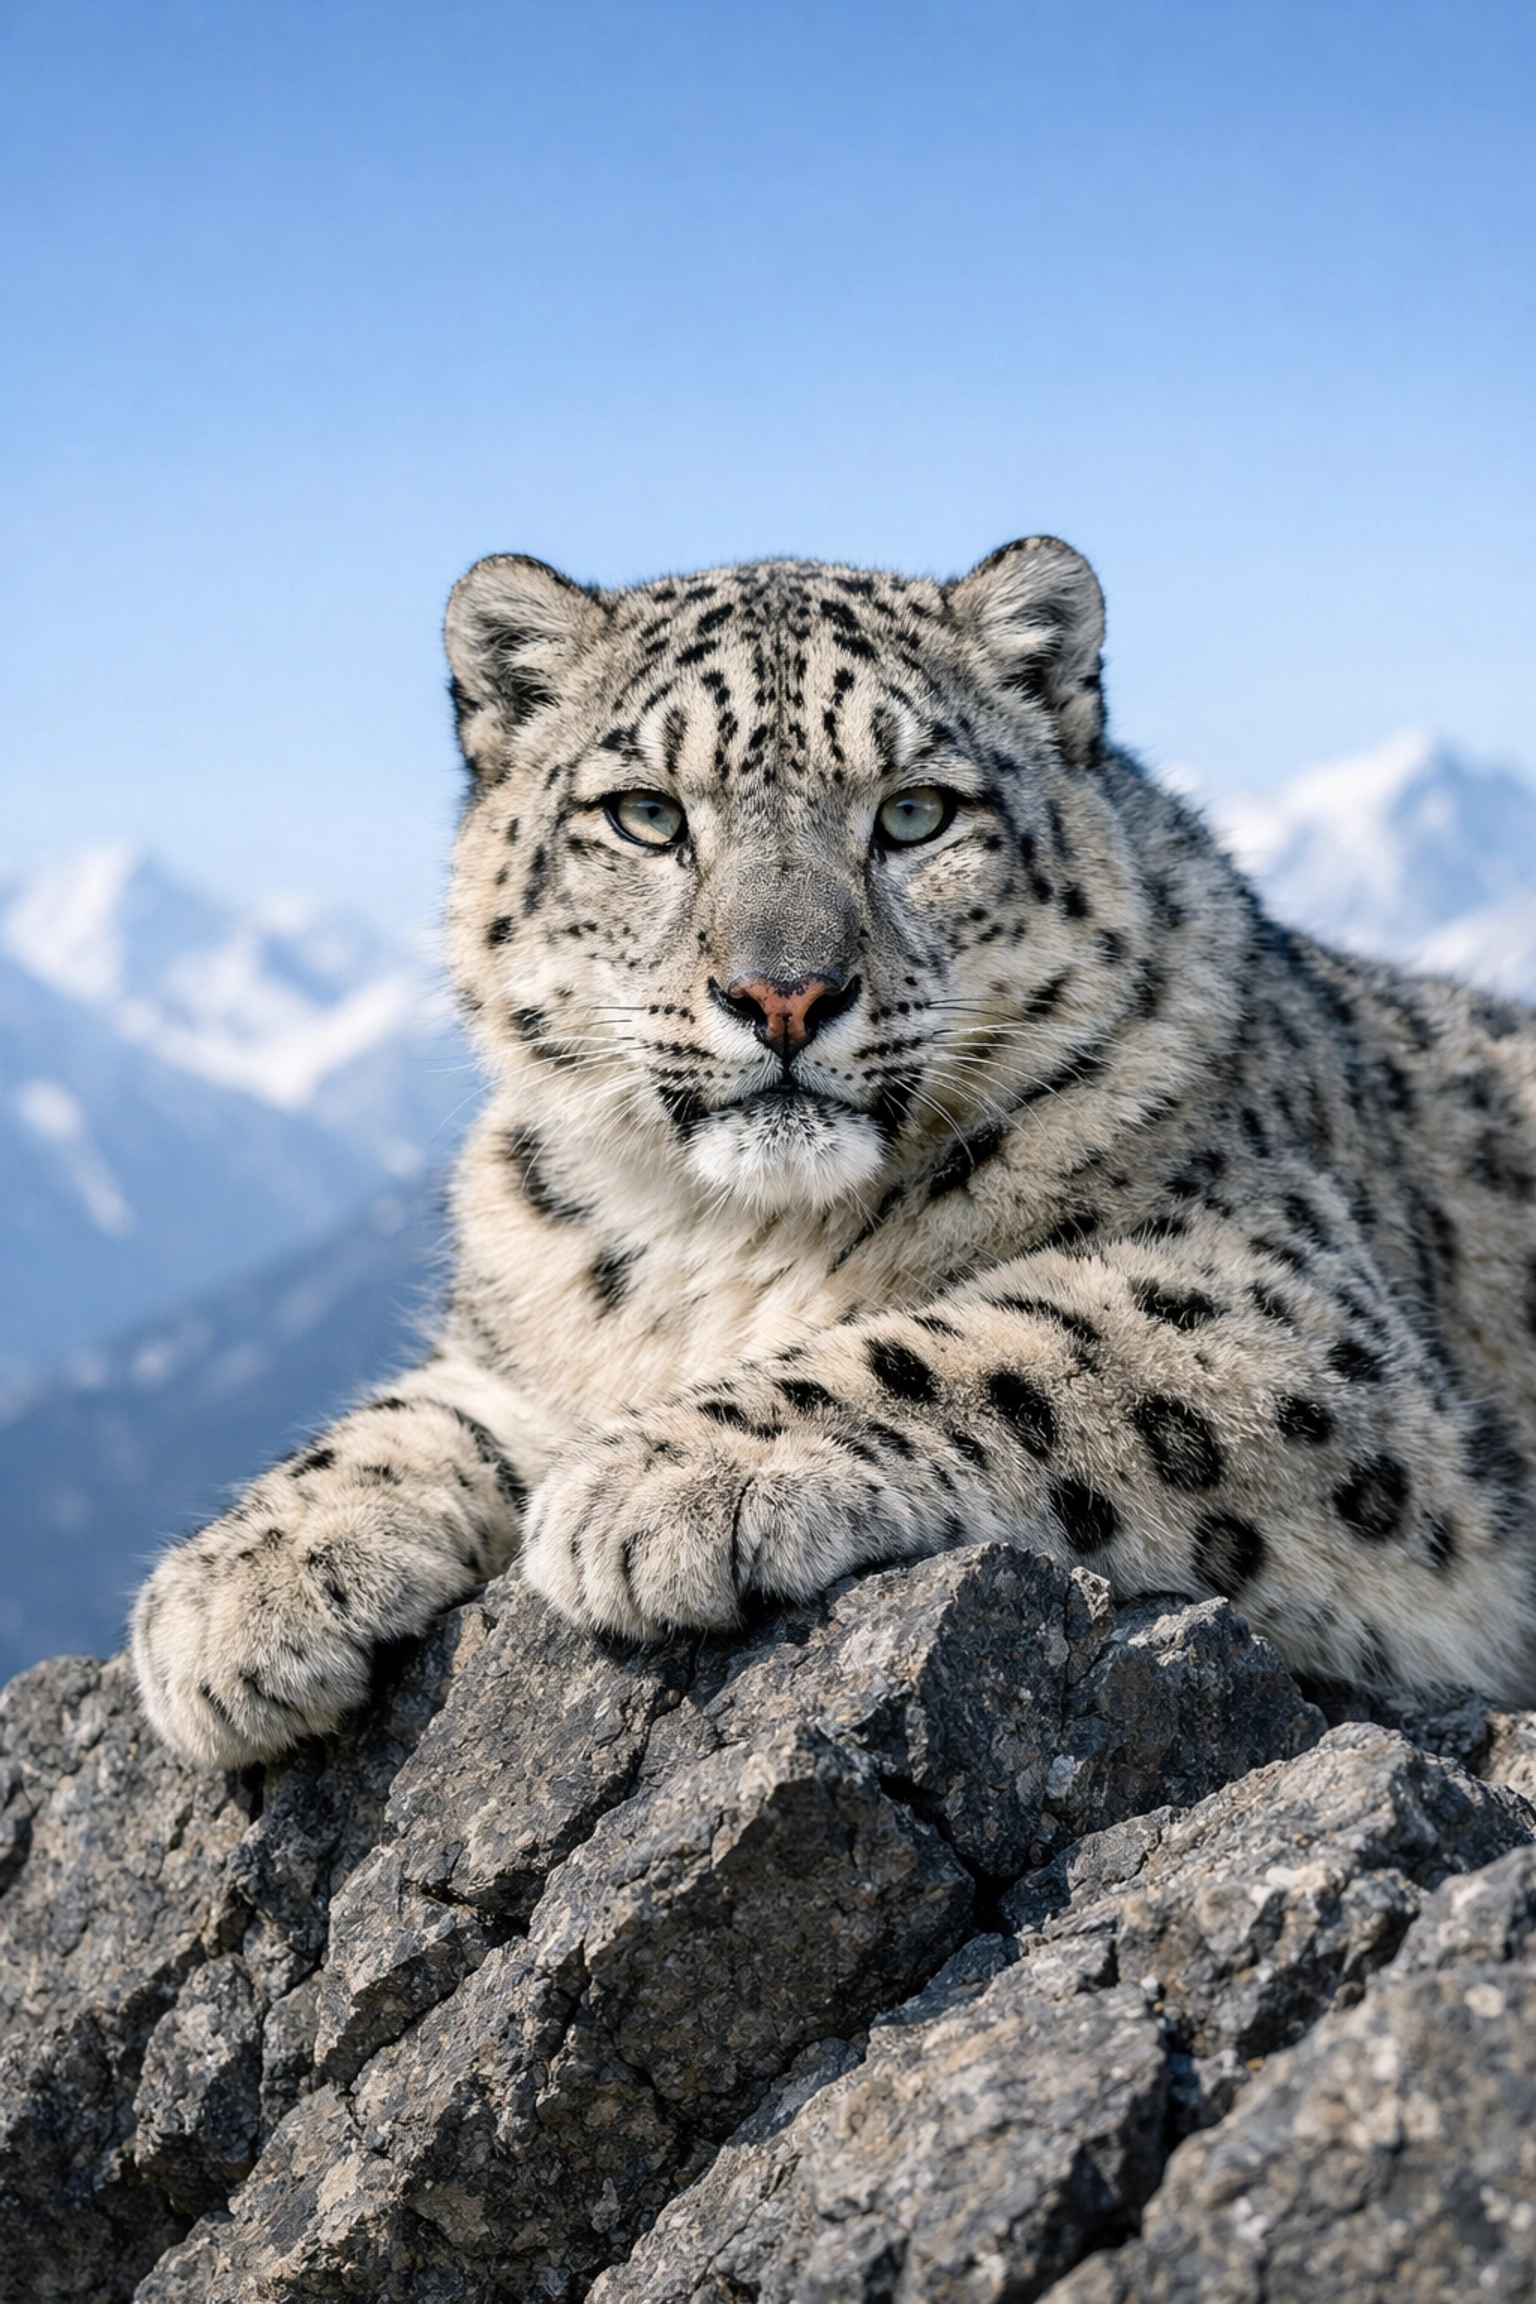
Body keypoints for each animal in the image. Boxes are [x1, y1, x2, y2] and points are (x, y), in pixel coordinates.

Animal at [131, 536, 1536, 1768]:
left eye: (914, 812)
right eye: (647, 816)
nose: (784, 994)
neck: (722, 1241)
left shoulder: (1278, 1308)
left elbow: (994, 1347)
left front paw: (666, 1476)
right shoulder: (528, 1347)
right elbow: (414, 1414)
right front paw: (233, 1591)